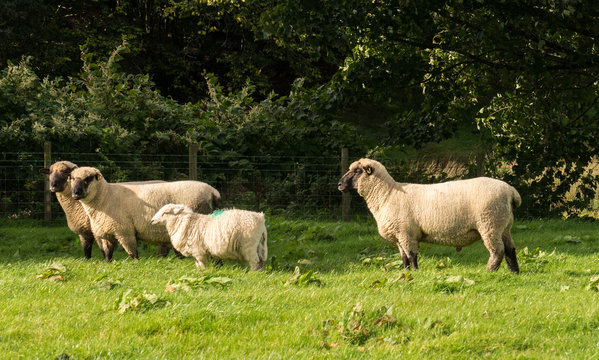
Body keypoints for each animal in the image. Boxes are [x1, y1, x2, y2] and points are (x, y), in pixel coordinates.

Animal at [69, 166, 221, 262]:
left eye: (88, 178)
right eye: (72, 178)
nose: (75, 193)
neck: (105, 197)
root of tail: (213, 191)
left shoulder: (125, 231)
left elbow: (132, 252)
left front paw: (136, 264)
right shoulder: (108, 232)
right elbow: (107, 254)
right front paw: (108, 265)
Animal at [340, 158, 524, 272]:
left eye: (357, 171)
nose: (339, 184)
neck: (387, 194)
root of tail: (511, 191)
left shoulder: (407, 234)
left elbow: (411, 256)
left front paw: (415, 273)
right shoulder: (400, 236)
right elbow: (403, 258)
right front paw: (406, 273)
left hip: (489, 224)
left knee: (498, 251)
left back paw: (489, 272)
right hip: (503, 226)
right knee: (510, 249)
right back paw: (514, 272)